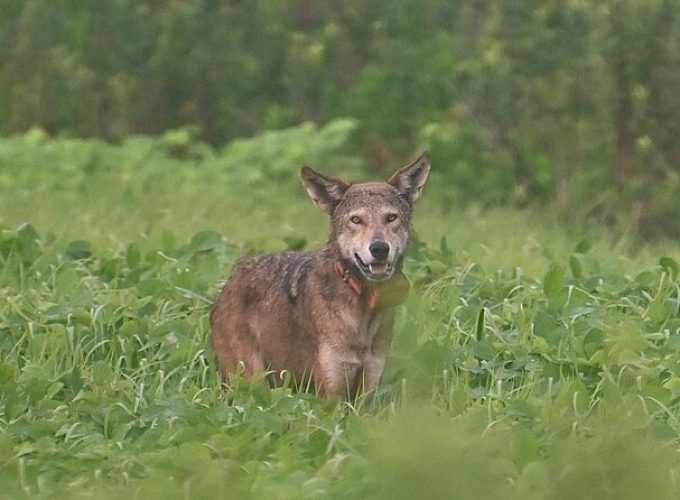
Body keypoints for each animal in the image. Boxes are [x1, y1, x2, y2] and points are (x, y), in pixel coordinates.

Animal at [211, 150, 430, 400]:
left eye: (391, 218)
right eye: (356, 220)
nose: (379, 249)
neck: (363, 308)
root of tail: (235, 273)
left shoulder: (367, 391)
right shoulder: (331, 395)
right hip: (251, 384)